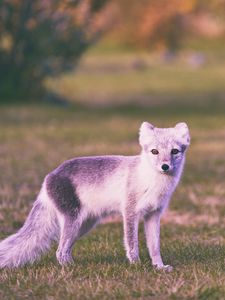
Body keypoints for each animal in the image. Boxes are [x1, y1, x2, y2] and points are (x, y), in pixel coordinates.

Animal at [0, 121, 190, 270]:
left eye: (174, 151)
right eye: (154, 152)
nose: (165, 166)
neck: (152, 181)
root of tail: (49, 176)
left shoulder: (154, 214)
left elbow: (154, 246)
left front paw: (159, 267)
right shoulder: (130, 212)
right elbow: (132, 244)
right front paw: (136, 265)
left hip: (84, 225)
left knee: (64, 249)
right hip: (73, 221)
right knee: (59, 251)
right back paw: (72, 269)